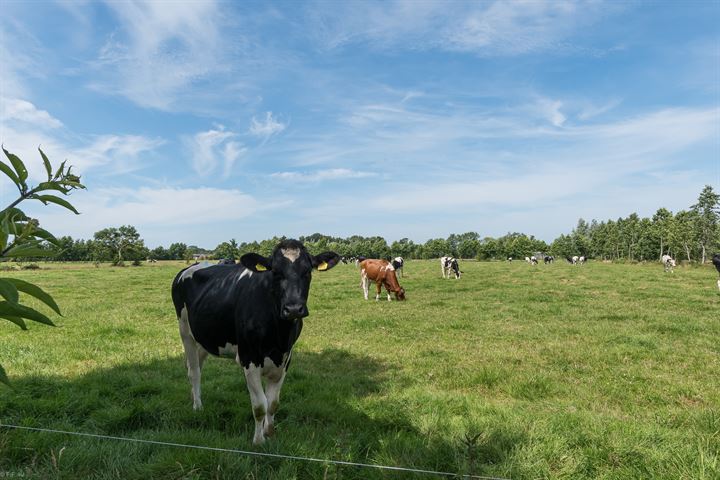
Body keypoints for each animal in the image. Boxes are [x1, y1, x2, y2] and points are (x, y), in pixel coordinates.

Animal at [174, 238, 344, 444]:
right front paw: (258, 441)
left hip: (205, 337)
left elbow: (273, 403)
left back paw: (193, 397)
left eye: (307, 271)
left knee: (195, 366)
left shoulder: (286, 358)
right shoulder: (249, 358)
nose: (293, 308)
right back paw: (197, 407)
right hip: (185, 332)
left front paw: (270, 433)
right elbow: (260, 405)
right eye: (275, 272)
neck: (279, 335)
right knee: (194, 372)